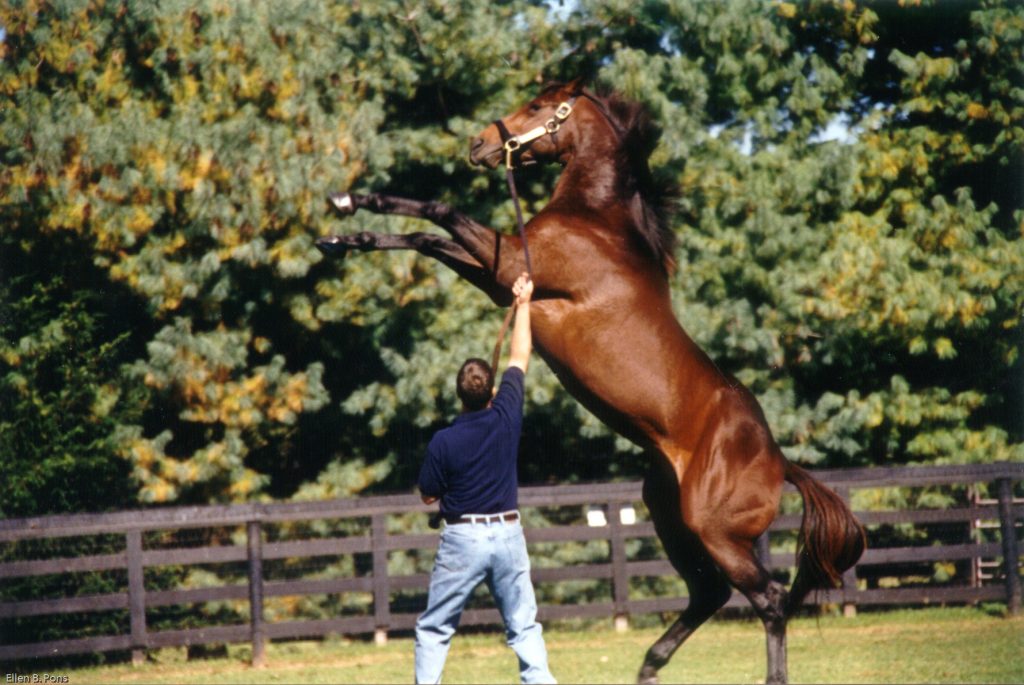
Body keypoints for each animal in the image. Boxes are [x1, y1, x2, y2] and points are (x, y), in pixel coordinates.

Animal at [317, 81, 864, 683]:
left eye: (536, 106)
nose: (479, 144)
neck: (599, 222)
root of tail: (780, 463)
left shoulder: (509, 265)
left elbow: (438, 212)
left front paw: (350, 207)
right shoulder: (498, 279)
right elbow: (424, 236)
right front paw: (346, 232)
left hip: (714, 530)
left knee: (768, 598)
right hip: (673, 521)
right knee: (710, 595)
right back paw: (648, 666)